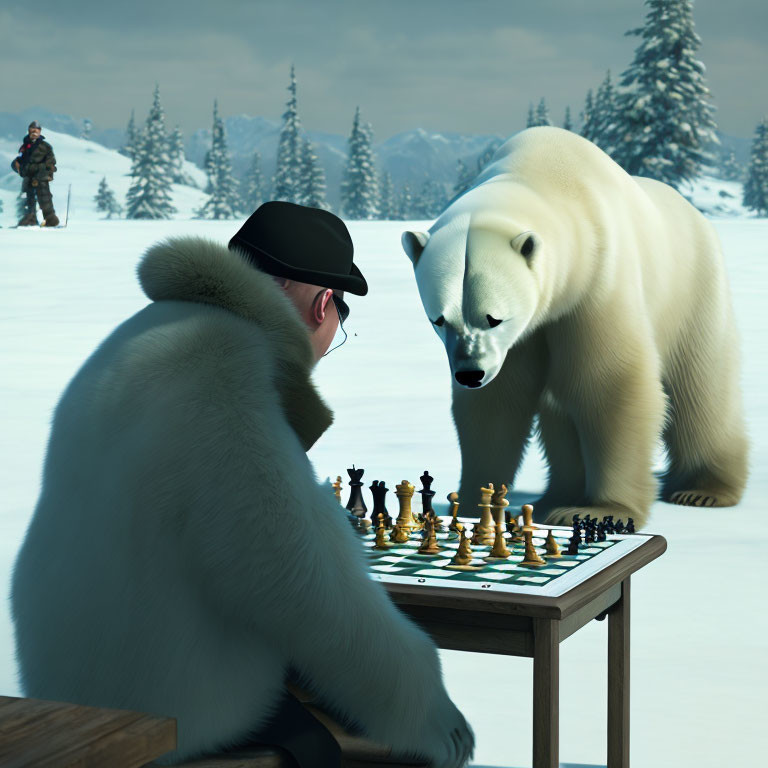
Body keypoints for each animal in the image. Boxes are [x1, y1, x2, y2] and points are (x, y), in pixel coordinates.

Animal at [404, 129, 748, 532]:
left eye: (494, 317)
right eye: (440, 319)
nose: (470, 373)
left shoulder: (597, 284)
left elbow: (609, 384)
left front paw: (603, 510)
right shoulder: (529, 332)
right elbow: (498, 401)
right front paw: (473, 503)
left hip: (691, 292)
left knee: (701, 388)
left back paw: (702, 490)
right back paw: (557, 497)